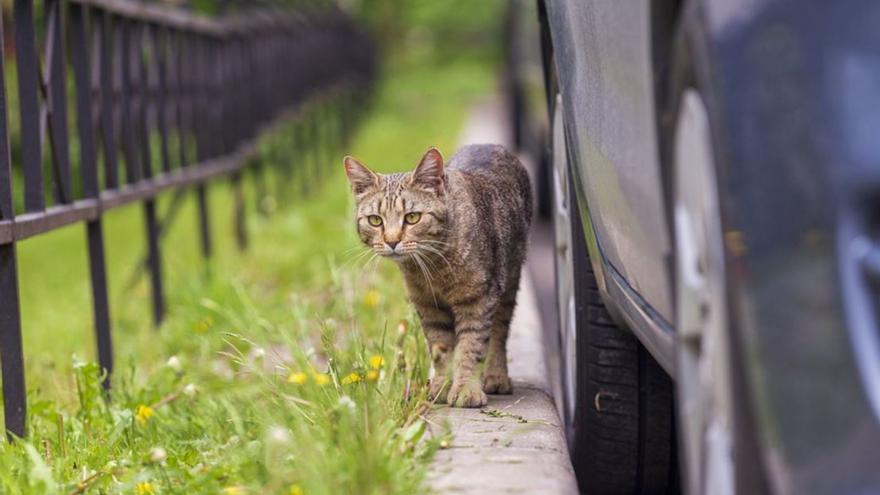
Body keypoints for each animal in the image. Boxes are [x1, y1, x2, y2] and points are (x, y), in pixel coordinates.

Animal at [346, 145, 532, 408]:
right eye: (375, 220)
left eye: (412, 217)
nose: (392, 241)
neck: (433, 267)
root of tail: (490, 145)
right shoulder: (428, 305)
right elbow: (441, 348)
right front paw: (444, 384)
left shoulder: (478, 300)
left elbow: (470, 347)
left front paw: (465, 389)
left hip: (509, 281)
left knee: (499, 332)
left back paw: (496, 375)